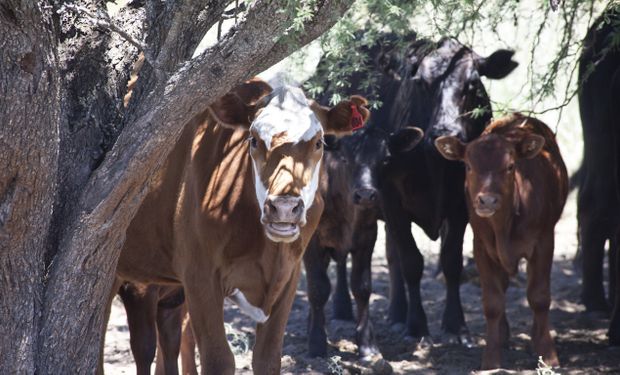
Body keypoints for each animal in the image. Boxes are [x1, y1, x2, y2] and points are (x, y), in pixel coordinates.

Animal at [310, 33, 520, 344]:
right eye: (421, 82)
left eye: (472, 83)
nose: (444, 131)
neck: (435, 165)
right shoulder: (392, 202)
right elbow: (412, 262)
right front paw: (417, 325)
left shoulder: (461, 207)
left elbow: (450, 262)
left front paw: (456, 326)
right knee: (348, 254)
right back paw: (343, 309)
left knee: (391, 256)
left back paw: (397, 313)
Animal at [434, 115, 568, 374]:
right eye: (468, 166)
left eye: (510, 166)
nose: (487, 200)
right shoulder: (481, 247)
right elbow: (493, 303)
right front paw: (491, 359)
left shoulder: (544, 242)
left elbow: (539, 297)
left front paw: (548, 355)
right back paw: (504, 336)